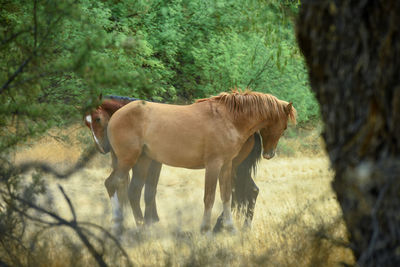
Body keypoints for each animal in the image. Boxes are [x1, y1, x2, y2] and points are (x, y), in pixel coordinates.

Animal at [104, 90, 296, 234]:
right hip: (127, 160)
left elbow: (226, 195)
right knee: (112, 184)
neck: (229, 119)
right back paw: (118, 225)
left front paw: (230, 228)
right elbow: (209, 197)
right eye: (284, 126)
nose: (269, 154)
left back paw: (142, 228)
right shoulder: (213, 165)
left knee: (133, 192)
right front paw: (205, 230)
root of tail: (116, 115)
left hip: (142, 161)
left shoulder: (226, 166)